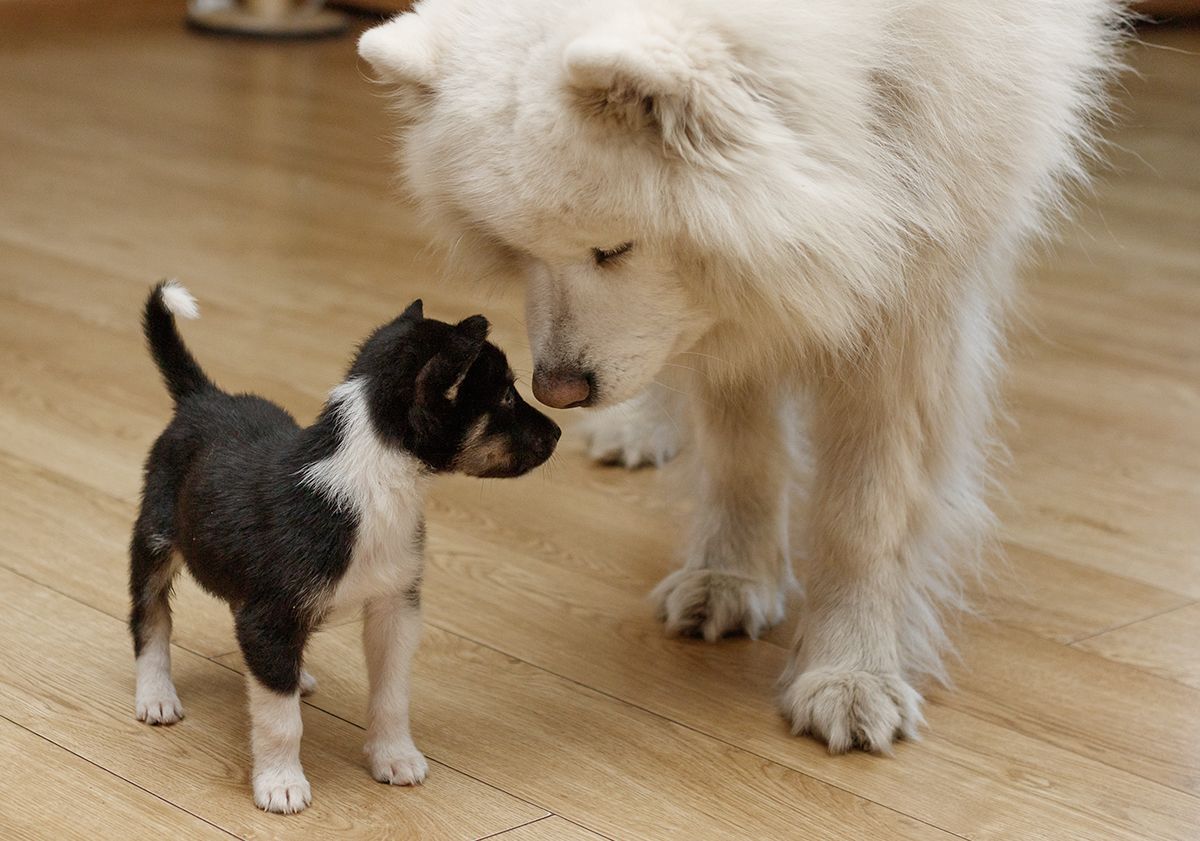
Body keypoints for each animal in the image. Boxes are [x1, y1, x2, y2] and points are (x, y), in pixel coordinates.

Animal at [129, 281, 559, 815]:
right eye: (504, 395)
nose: (558, 433)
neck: (374, 481)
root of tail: (202, 397)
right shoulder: (269, 616)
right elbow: (279, 720)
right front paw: (281, 783)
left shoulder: (395, 607)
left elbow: (392, 694)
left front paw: (394, 757)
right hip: (155, 539)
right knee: (151, 619)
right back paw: (157, 696)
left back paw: (296, 675)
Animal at [357, 0, 1123, 748]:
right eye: (518, 251)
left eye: (613, 248)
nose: (557, 392)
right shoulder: (732, 306)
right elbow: (742, 456)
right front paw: (729, 578)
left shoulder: (908, 297)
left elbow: (866, 512)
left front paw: (851, 671)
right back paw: (639, 429)